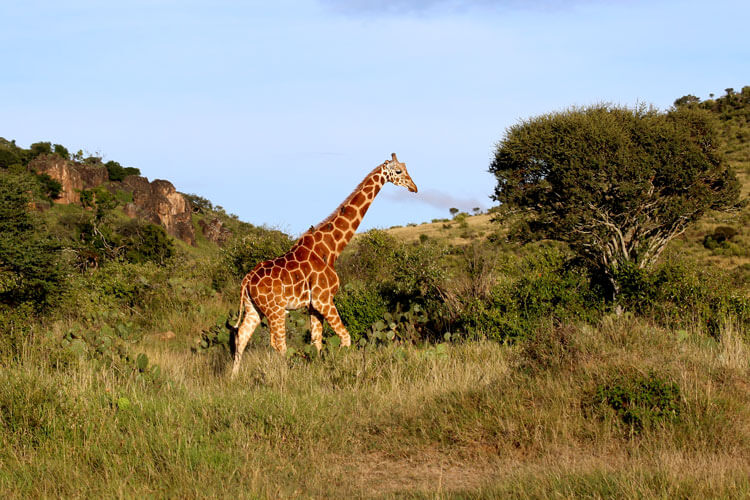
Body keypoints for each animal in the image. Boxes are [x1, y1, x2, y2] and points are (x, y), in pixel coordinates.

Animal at [231, 152, 418, 376]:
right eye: (398, 171)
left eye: (407, 167)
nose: (414, 187)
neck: (331, 248)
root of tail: (247, 280)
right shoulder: (324, 300)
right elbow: (345, 338)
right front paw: (343, 370)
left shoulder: (313, 305)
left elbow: (317, 342)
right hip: (275, 310)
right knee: (279, 344)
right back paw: (284, 377)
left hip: (254, 308)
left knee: (241, 337)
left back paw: (232, 378)